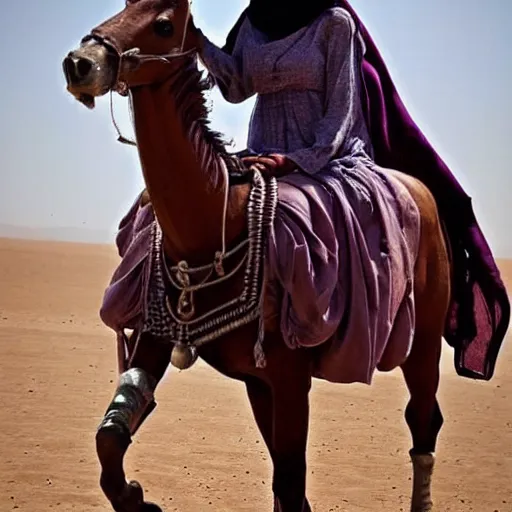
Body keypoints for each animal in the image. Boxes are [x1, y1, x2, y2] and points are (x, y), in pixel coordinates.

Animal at [62, 2, 450, 510]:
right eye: (124, 6)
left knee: (423, 419)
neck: (215, 219)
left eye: (163, 25)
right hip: (257, 382)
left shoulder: (291, 378)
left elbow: (291, 479)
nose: (80, 62)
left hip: (422, 344)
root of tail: (420, 191)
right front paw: (136, 497)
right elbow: (110, 436)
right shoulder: (158, 338)